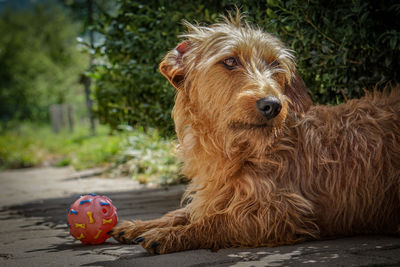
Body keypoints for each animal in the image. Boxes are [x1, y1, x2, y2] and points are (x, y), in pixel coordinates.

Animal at [111, 13, 400, 255]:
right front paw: (140, 225)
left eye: (275, 64)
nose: (272, 105)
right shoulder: (217, 195)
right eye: (229, 61)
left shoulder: (286, 212)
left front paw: (170, 235)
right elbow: (185, 211)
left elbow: (218, 220)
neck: (237, 149)